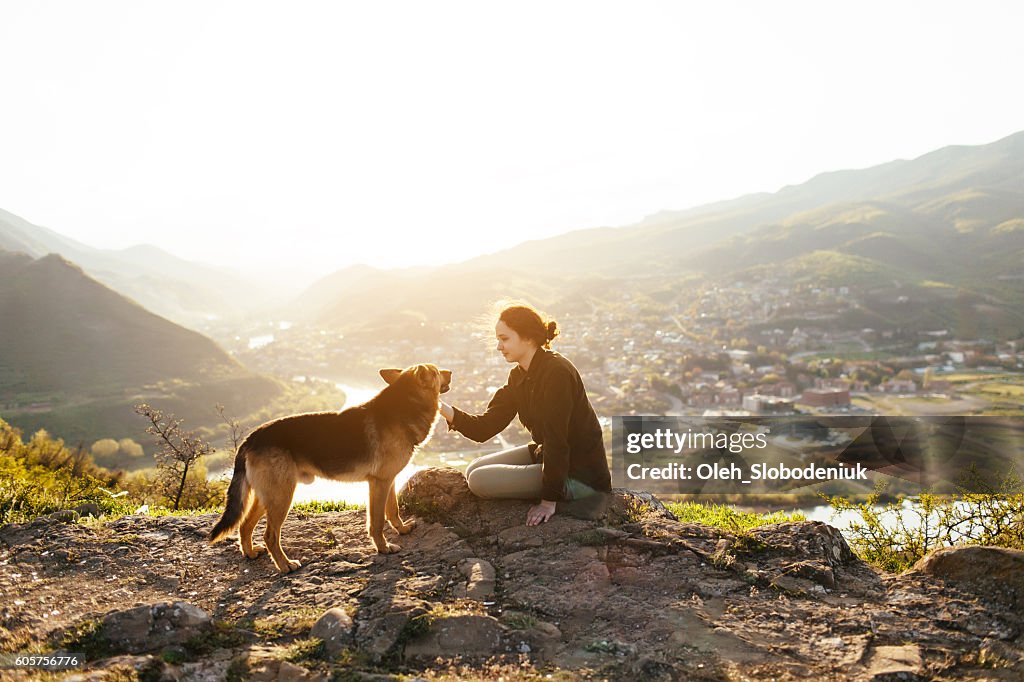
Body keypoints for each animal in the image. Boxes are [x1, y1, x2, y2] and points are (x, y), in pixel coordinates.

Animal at [206, 364, 448, 569]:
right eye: (437, 371)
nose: (451, 372)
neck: (404, 405)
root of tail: (251, 439)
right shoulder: (379, 483)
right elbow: (377, 521)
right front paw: (383, 547)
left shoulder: (389, 480)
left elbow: (393, 510)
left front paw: (402, 529)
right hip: (282, 496)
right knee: (270, 536)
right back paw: (285, 565)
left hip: (268, 496)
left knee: (245, 525)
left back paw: (250, 552)